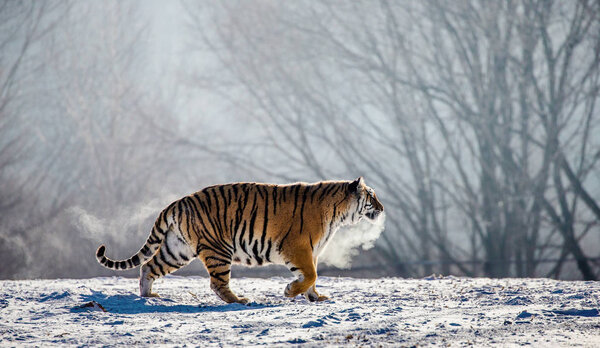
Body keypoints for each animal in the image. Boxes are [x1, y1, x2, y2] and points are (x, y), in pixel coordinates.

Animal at [95, 177, 384, 302]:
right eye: (372, 196)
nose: (382, 208)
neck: (338, 214)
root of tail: (177, 202)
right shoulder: (298, 247)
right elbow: (310, 274)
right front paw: (290, 291)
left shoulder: (311, 251)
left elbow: (313, 277)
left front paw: (316, 297)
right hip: (218, 250)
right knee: (217, 284)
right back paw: (239, 300)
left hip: (177, 249)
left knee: (148, 266)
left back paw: (148, 295)